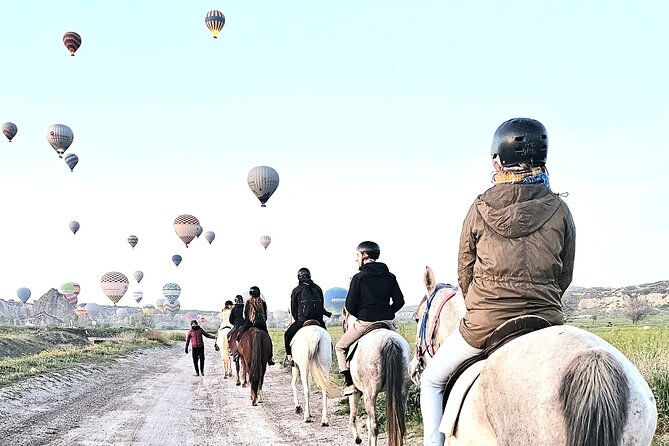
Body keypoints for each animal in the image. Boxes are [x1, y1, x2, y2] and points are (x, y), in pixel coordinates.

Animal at [342, 308, 414, 446]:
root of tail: (390, 341)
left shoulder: (356, 392)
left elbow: (353, 417)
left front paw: (358, 439)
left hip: (370, 395)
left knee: (374, 426)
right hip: (402, 392)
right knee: (400, 425)